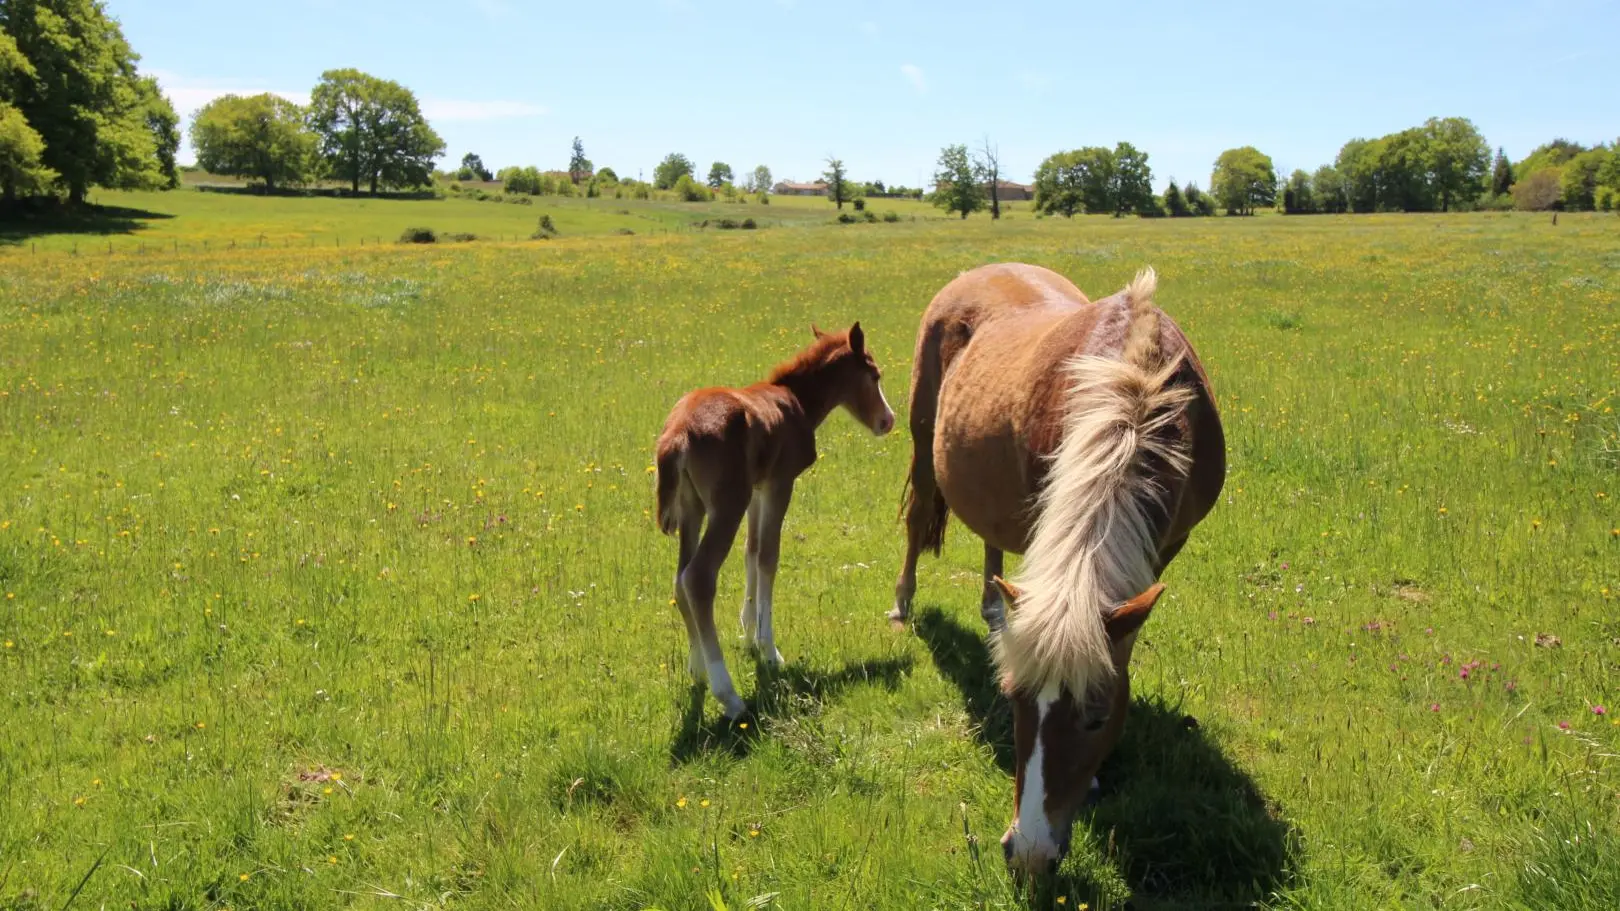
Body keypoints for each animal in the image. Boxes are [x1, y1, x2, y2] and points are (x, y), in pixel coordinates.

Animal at [651, 324, 894, 716]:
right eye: (875, 375)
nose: (888, 420)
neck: (796, 401)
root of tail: (678, 434)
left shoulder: (758, 488)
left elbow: (751, 552)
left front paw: (748, 633)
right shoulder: (781, 482)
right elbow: (768, 557)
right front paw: (768, 650)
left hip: (693, 507)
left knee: (680, 578)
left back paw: (698, 669)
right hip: (726, 504)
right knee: (699, 578)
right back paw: (728, 695)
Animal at [894, 264, 1218, 875]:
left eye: (1096, 715)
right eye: (1014, 700)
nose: (1028, 853)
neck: (1137, 391)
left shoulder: (1165, 544)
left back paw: (995, 611)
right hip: (925, 440)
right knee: (920, 515)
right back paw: (904, 602)